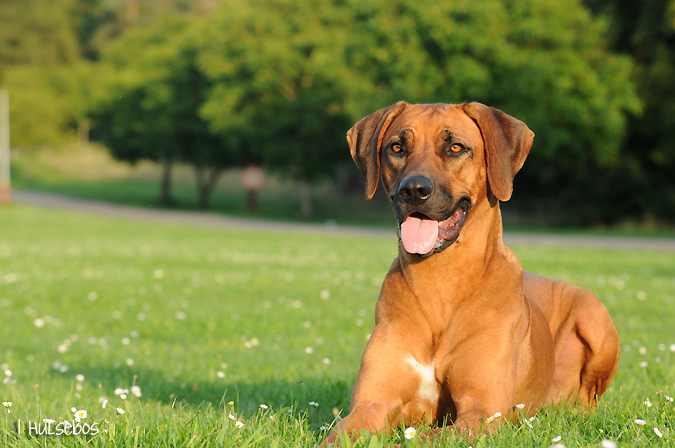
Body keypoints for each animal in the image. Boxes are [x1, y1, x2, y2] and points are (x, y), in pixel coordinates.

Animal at [324, 100, 620, 444]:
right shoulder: (371, 403)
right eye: (396, 147)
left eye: (455, 147)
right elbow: (339, 435)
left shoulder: (482, 412)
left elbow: (424, 439)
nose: (413, 190)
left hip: (594, 318)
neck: (440, 280)